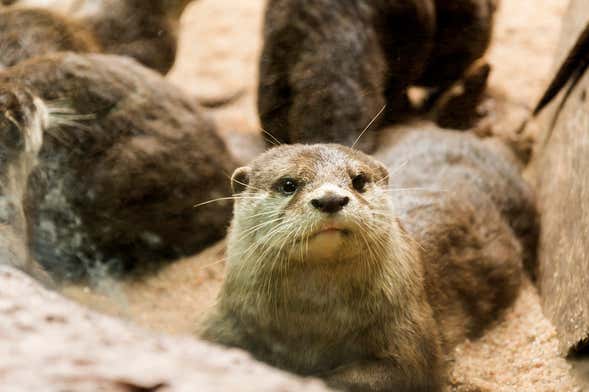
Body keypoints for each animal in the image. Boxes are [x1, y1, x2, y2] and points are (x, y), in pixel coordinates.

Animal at [200, 130, 536, 390]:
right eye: (288, 184)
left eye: (358, 180)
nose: (331, 199)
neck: (312, 323)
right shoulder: (226, 320)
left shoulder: (409, 326)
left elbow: (403, 372)